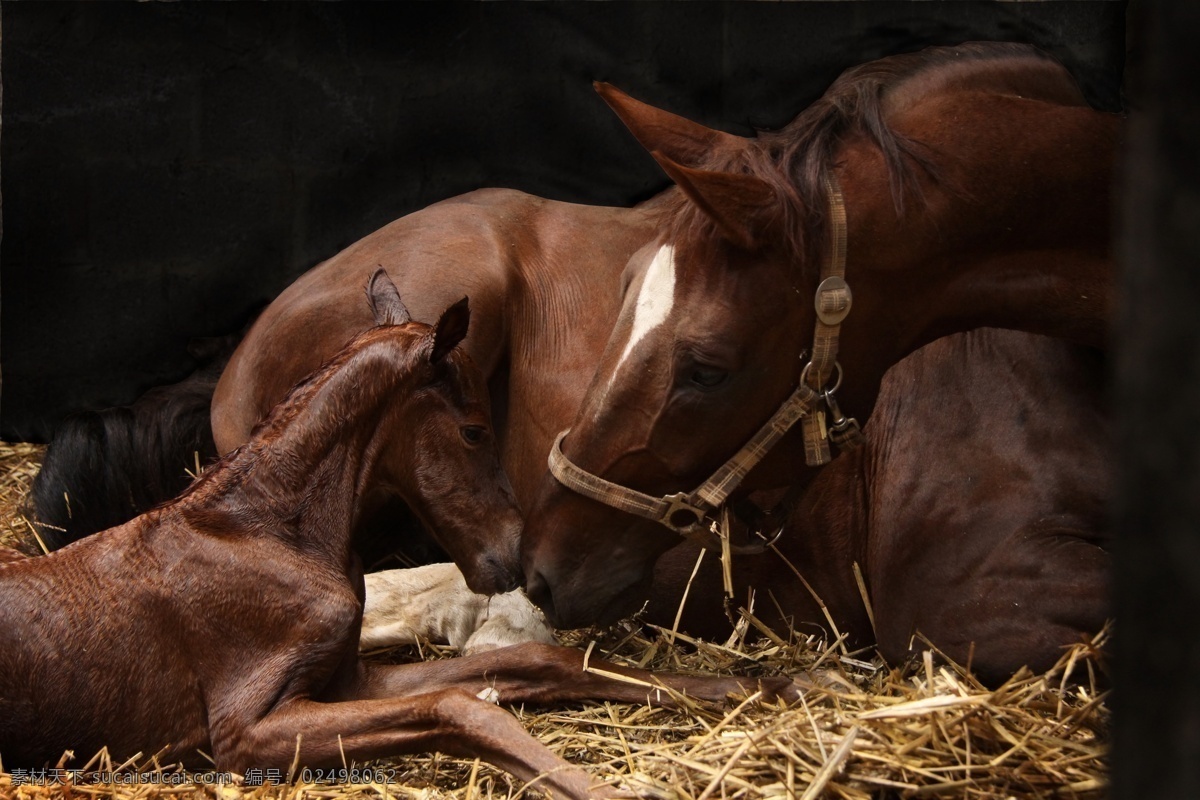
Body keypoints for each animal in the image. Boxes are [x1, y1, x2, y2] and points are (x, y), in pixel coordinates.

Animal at [0, 273, 777, 796]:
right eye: (475, 430)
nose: (514, 556)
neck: (264, 531)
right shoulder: (244, 731)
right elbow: (461, 705)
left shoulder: (347, 680)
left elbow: (535, 665)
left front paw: (764, 683)